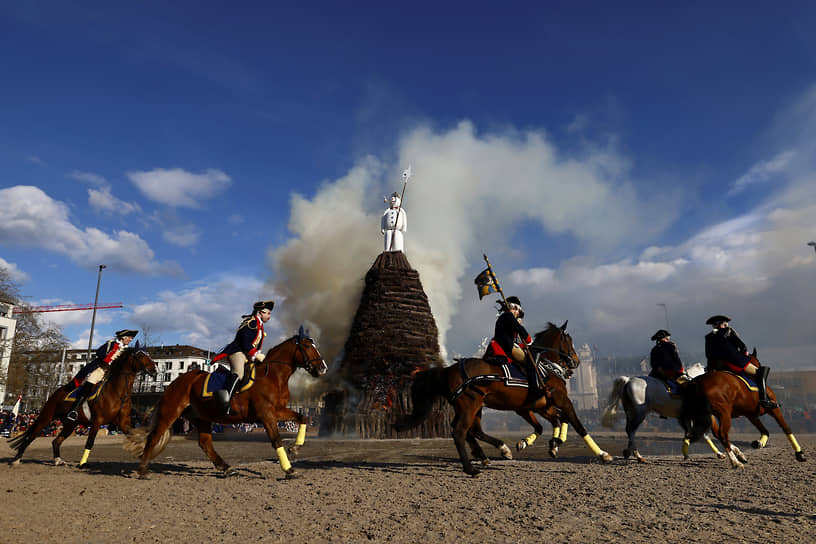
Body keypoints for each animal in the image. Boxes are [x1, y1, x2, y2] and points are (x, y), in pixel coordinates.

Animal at [7, 348, 158, 468]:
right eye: (140, 356)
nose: (155, 370)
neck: (118, 392)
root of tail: (57, 392)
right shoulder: (97, 422)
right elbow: (90, 442)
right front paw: (83, 463)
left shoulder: (123, 422)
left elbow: (134, 436)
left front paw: (143, 455)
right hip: (46, 417)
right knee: (31, 436)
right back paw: (16, 460)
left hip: (70, 425)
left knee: (56, 441)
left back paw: (58, 460)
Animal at [124, 328, 326, 476]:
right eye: (308, 346)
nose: (322, 368)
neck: (273, 376)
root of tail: (176, 382)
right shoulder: (267, 414)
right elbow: (276, 439)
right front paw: (288, 468)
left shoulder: (278, 410)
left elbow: (302, 418)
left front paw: (296, 448)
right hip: (171, 412)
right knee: (153, 437)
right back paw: (142, 469)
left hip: (201, 417)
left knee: (205, 443)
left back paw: (225, 467)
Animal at [396, 324, 612, 476]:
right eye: (568, 340)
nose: (576, 362)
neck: (544, 367)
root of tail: (449, 369)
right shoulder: (561, 401)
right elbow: (577, 424)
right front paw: (601, 453)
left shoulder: (532, 407)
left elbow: (551, 423)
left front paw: (548, 444)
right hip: (470, 405)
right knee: (460, 432)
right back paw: (472, 468)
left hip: (474, 406)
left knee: (472, 431)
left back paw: (495, 453)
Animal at [596, 364, 724, 462]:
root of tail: (629, 380)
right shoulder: (695, 418)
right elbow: (703, 434)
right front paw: (719, 453)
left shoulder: (684, 418)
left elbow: (691, 434)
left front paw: (686, 453)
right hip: (640, 414)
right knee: (631, 431)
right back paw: (639, 456)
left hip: (630, 413)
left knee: (629, 431)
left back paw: (628, 452)